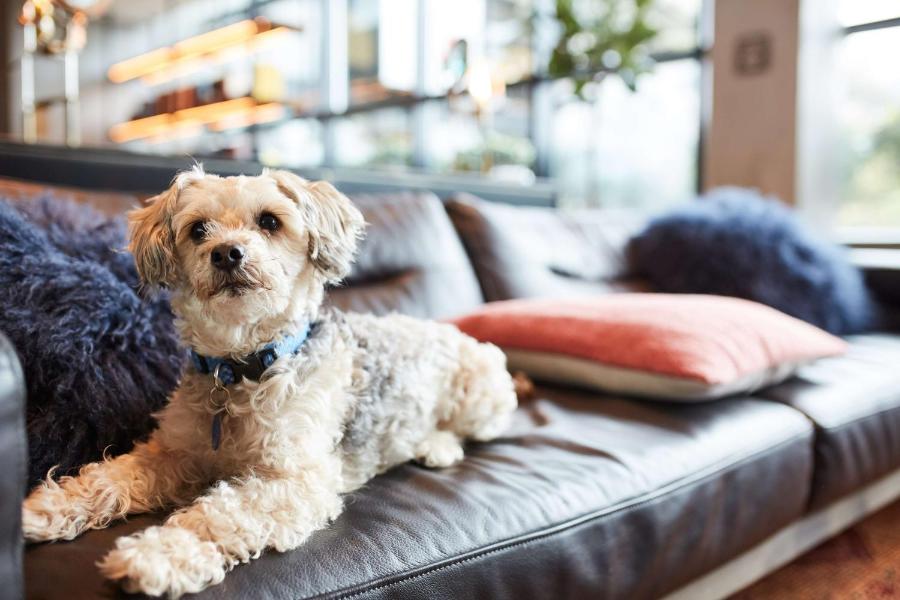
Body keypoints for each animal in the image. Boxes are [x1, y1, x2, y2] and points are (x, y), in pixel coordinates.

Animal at [21, 167, 518, 597]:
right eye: (198, 229)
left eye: (269, 221)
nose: (227, 252)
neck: (238, 368)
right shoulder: (174, 453)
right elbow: (107, 478)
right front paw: (43, 510)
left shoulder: (295, 480)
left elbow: (216, 515)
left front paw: (156, 556)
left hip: (481, 394)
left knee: (478, 429)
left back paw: (438, 445)